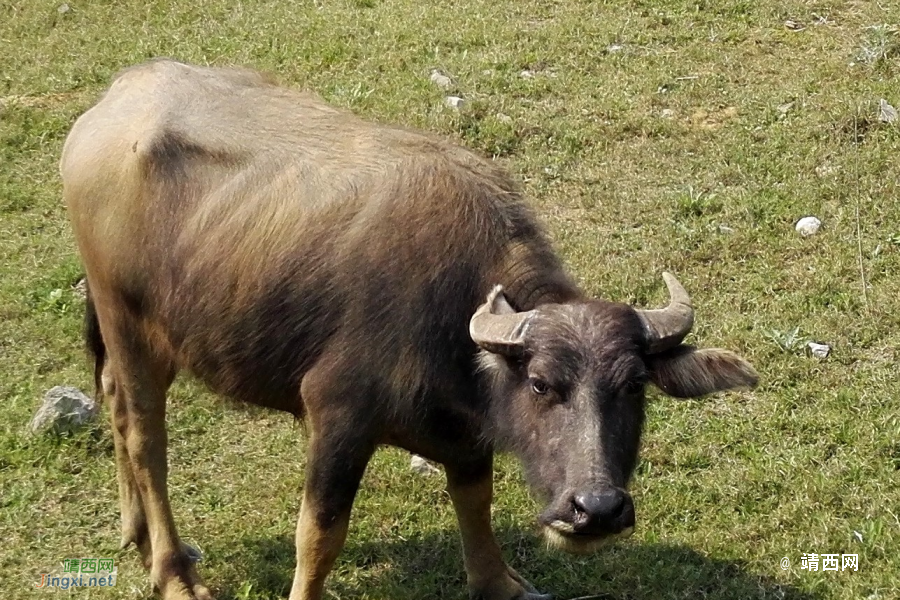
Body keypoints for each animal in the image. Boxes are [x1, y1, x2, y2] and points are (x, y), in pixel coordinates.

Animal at [59, 59, 756, 600]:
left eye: (635, 386)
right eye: (540, 384)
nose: (597, 510)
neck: (447, 316)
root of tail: (115, 98)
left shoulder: (467, 434)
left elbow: (475, 500)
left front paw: (498, 581)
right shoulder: (336, 416)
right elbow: (320, 533)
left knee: (114, 403)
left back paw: (134, 531)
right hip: (126, 323)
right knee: (144, 436)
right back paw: (173, 571)